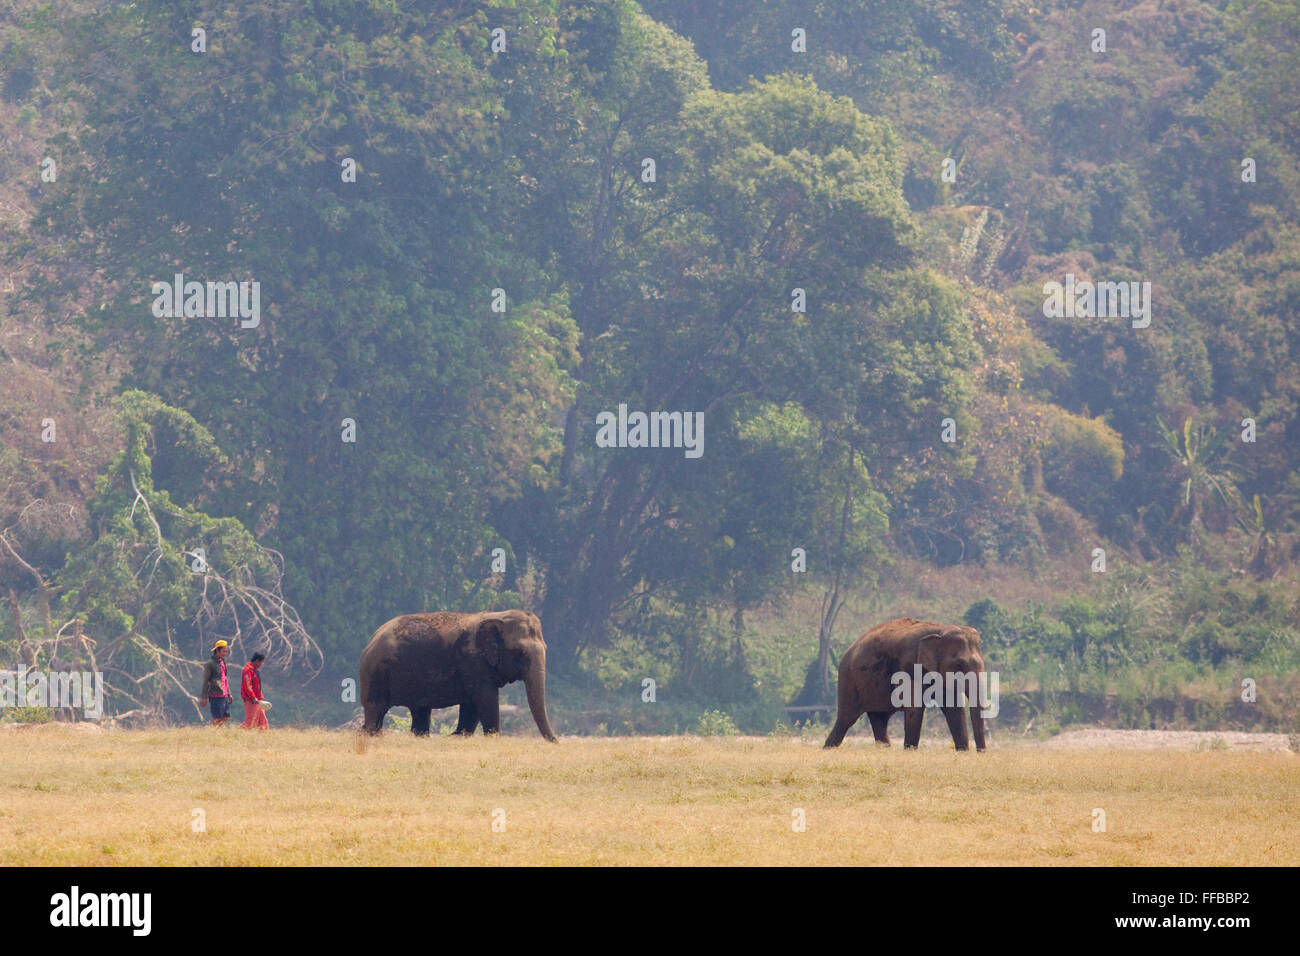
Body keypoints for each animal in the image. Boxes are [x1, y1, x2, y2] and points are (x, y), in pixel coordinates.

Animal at [358, 608, 556, 743]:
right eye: (520, 652)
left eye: (546, 648)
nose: (556, 742)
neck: (497, 615)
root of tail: (371, 641)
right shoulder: (473, 663)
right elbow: (485, 698)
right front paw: (492, 737)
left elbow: (472, 704)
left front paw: (457, 735)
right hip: (376, 673)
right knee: (376, 710)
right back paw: (371, 733)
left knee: (420, 711)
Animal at [821, 621, 982, 754]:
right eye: (959, 664)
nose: (981, 752)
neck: (941, 629)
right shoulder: (909, 667)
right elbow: (915, 708)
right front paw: (910, 752)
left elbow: (954, 709)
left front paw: (963, 753)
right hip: (848, 679)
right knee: (846, 719)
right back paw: (827, 750)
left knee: (879, 719)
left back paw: (884, 750)